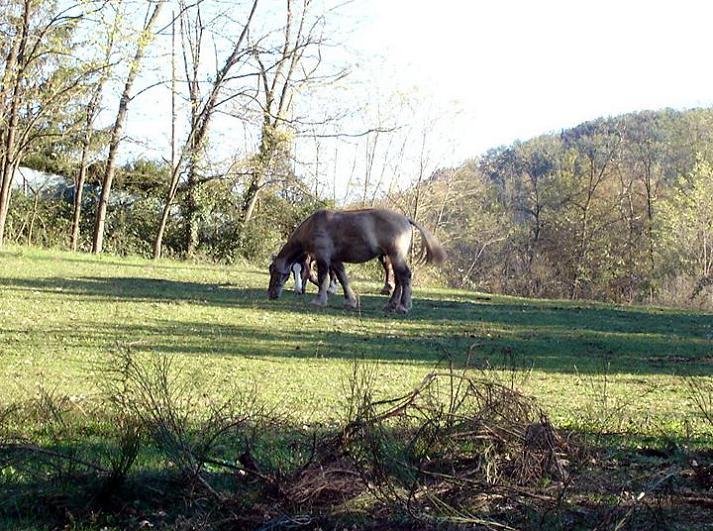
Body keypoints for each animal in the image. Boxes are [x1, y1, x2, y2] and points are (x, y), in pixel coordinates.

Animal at [268, 209, 444, 316]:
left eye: (274, 271)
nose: (271, 294)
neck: (313, 225)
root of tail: (406, 219)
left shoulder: (323, 258)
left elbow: (323, 278)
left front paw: (319, 300)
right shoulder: (335, 260)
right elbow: (342, 278)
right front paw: (350, 301)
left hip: (395, 256)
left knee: (405, 276)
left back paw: (403, 306)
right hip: (393, 257)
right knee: (399, 279)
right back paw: (391, 304)